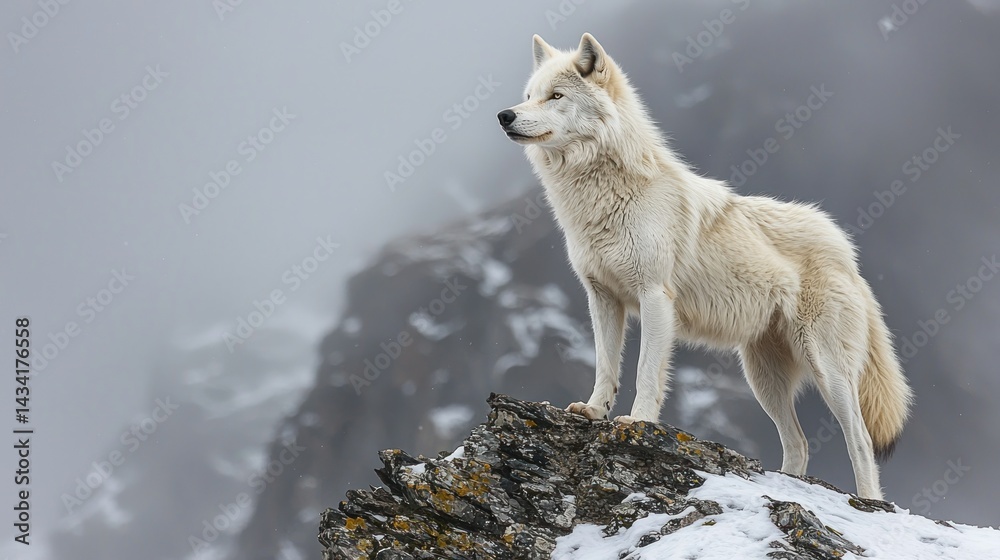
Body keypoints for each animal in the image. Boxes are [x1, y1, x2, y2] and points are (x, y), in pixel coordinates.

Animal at [497, 33, 913, 500]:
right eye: (528, 96)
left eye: (556, 96)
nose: (505, 115)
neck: (602, 196)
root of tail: (848, 253)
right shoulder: (602, 298)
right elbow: (606, 366)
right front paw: (592, 410)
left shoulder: (654, 297)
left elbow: (645, 372)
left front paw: (636, 422)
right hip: (763, 379)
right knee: (800, 443)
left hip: (827, 372)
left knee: (859, 440)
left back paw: (868, 501)